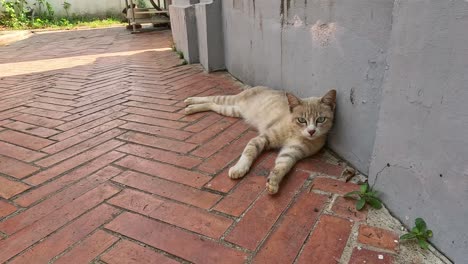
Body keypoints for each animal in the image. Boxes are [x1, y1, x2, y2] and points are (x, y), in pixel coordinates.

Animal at [184, 86, 336, 194]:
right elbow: (248, 153)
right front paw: (239, 168)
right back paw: (190, 102)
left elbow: (282, 166)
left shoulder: (291, 152)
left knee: (213, 105)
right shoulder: (262, 138)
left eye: (321, 119)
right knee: (212, 98)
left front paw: (273, 182)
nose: (311, 131)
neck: (295, 133)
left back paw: (191, 107)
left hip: (232, 110)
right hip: (229, 101)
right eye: (302, 120)